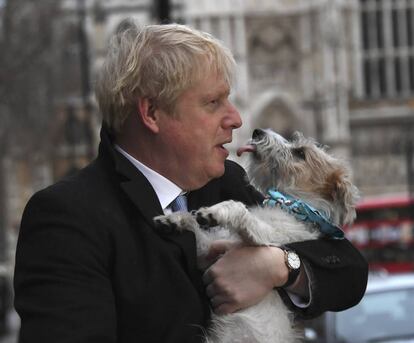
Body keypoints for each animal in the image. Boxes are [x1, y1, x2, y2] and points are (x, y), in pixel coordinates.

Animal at [154, 129, 358, 343]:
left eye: (300, 153)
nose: (257, 131)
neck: (289, 205)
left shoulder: (264, 238)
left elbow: (238, 208)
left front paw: (215, 212)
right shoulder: (207, 251)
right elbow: (194, 225)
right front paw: (174, 219)